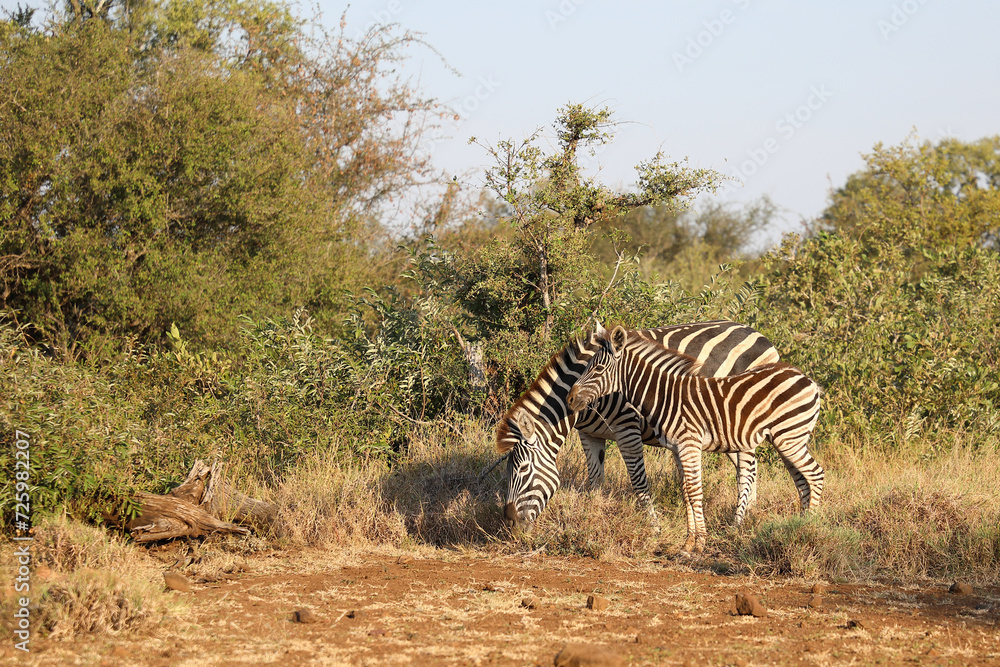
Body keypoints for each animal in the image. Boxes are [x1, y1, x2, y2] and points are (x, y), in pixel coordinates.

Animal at [496, 320, 780, 529]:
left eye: (523, 470)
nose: (509, 523)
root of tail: (762, 337)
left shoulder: (627, 427)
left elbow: (638, 480)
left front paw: (654, 526)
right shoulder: (589, 434)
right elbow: (594, 479)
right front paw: (592, 517)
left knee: (747, 469)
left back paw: (737, 522)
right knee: (748, 468)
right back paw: (749, 513)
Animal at [566, 324, 824, 554]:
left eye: (598, 369)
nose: (569, 399)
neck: (664, 395)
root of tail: (807, 378)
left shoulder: (689, 444)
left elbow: (694, 490)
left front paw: (700, 543)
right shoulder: (677, 448)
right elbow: (685, 492)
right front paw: (688, 543)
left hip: (789, 437)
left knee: (815, 474)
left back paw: (807, 528)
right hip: (787, 439)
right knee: (802, 481)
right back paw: (799, 523)